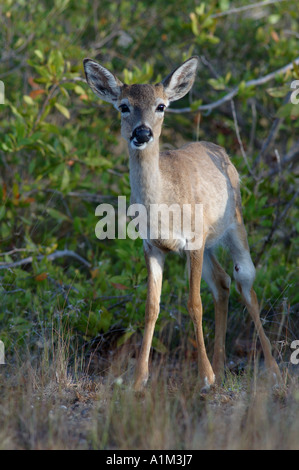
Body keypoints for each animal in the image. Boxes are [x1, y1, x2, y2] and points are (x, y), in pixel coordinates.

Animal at [83, 56, 282, 392]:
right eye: (123, 106)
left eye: (161, 106)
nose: (142, 133)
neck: (163, 206)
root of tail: (219, 149)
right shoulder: (151, 246)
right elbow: (151, 307)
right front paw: (139, 378)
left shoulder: (194, 240)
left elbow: (194, 303)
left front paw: (205, 377)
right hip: (211, 244)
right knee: (222, 282)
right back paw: (222, 367)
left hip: (234, 225)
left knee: (246, 284)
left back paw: (272, 369)